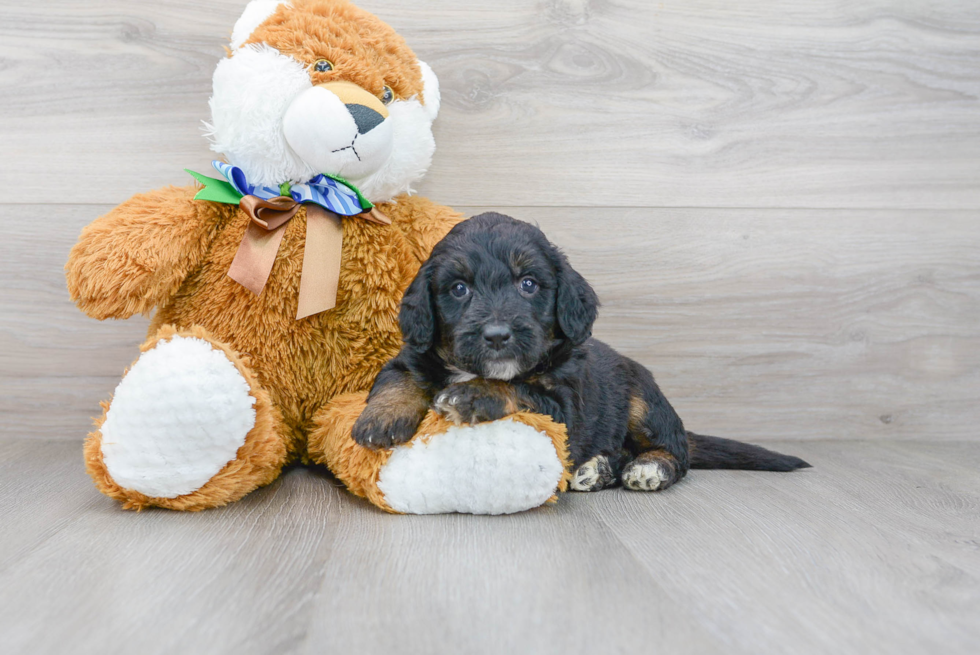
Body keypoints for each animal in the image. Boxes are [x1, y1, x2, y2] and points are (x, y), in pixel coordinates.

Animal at [354, 213, 812, 490]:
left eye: (529, 284)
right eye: (459, 288)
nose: (498, 336)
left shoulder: (564, 405)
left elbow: (519, 389)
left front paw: (473, 393)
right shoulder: (412, 355)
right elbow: (397, 379)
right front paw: (379, 419)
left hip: (642, 398)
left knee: (676, 453)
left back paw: (648, 467)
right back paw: (596, 468)